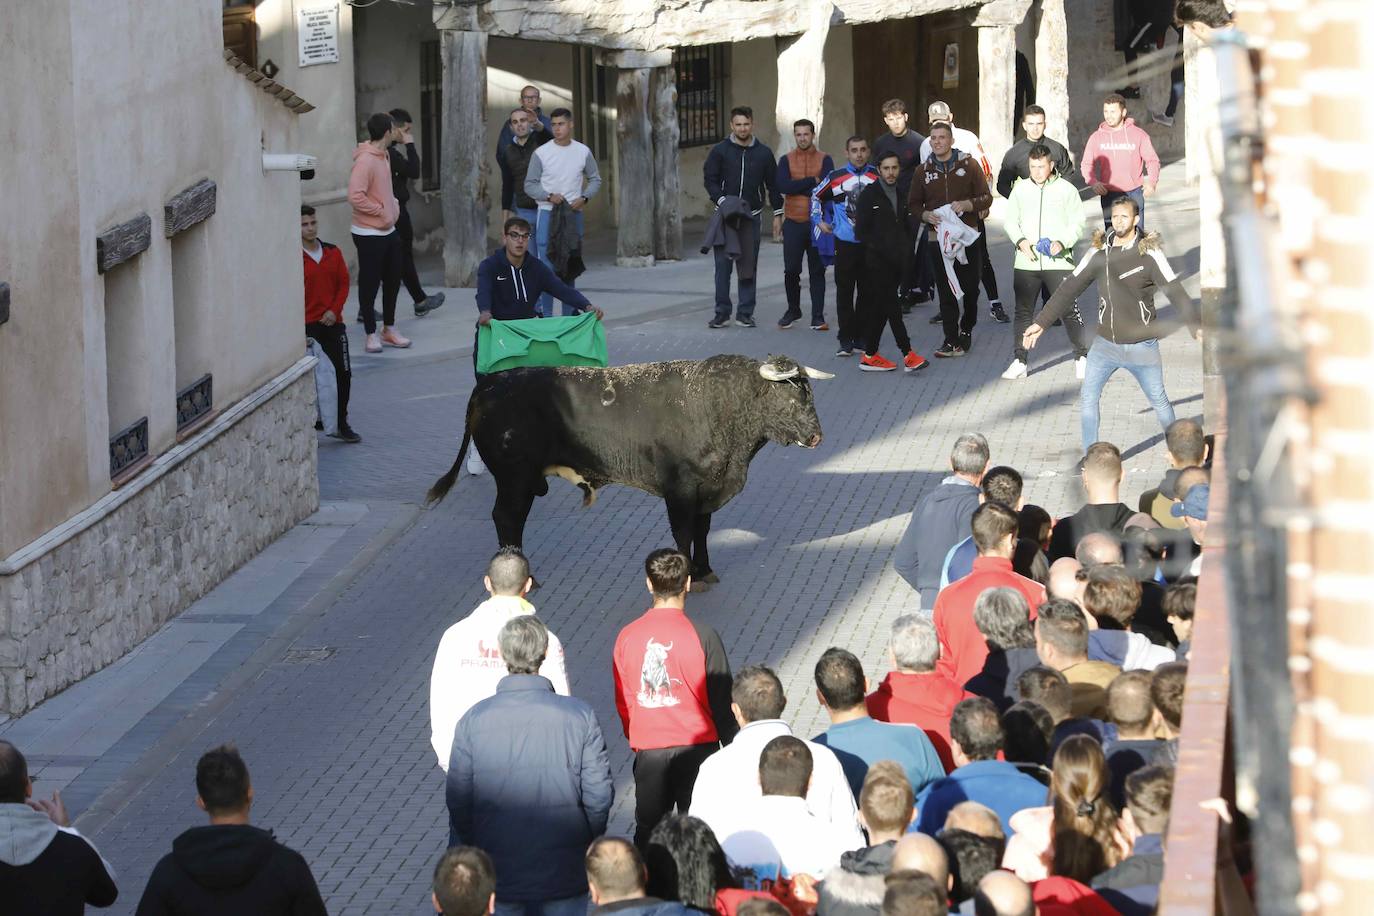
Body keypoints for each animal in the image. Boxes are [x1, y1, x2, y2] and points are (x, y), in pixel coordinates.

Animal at [428, 354, 829, 587]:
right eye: (790, 396)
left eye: (810, 393)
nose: (816, 436)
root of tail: (488, 383)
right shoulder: (681, 490)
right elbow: (684, 532)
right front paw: (687, 577)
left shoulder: (706, 488)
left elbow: (703, 530)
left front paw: (704, 570)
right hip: (515, 480)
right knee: (507, 518)